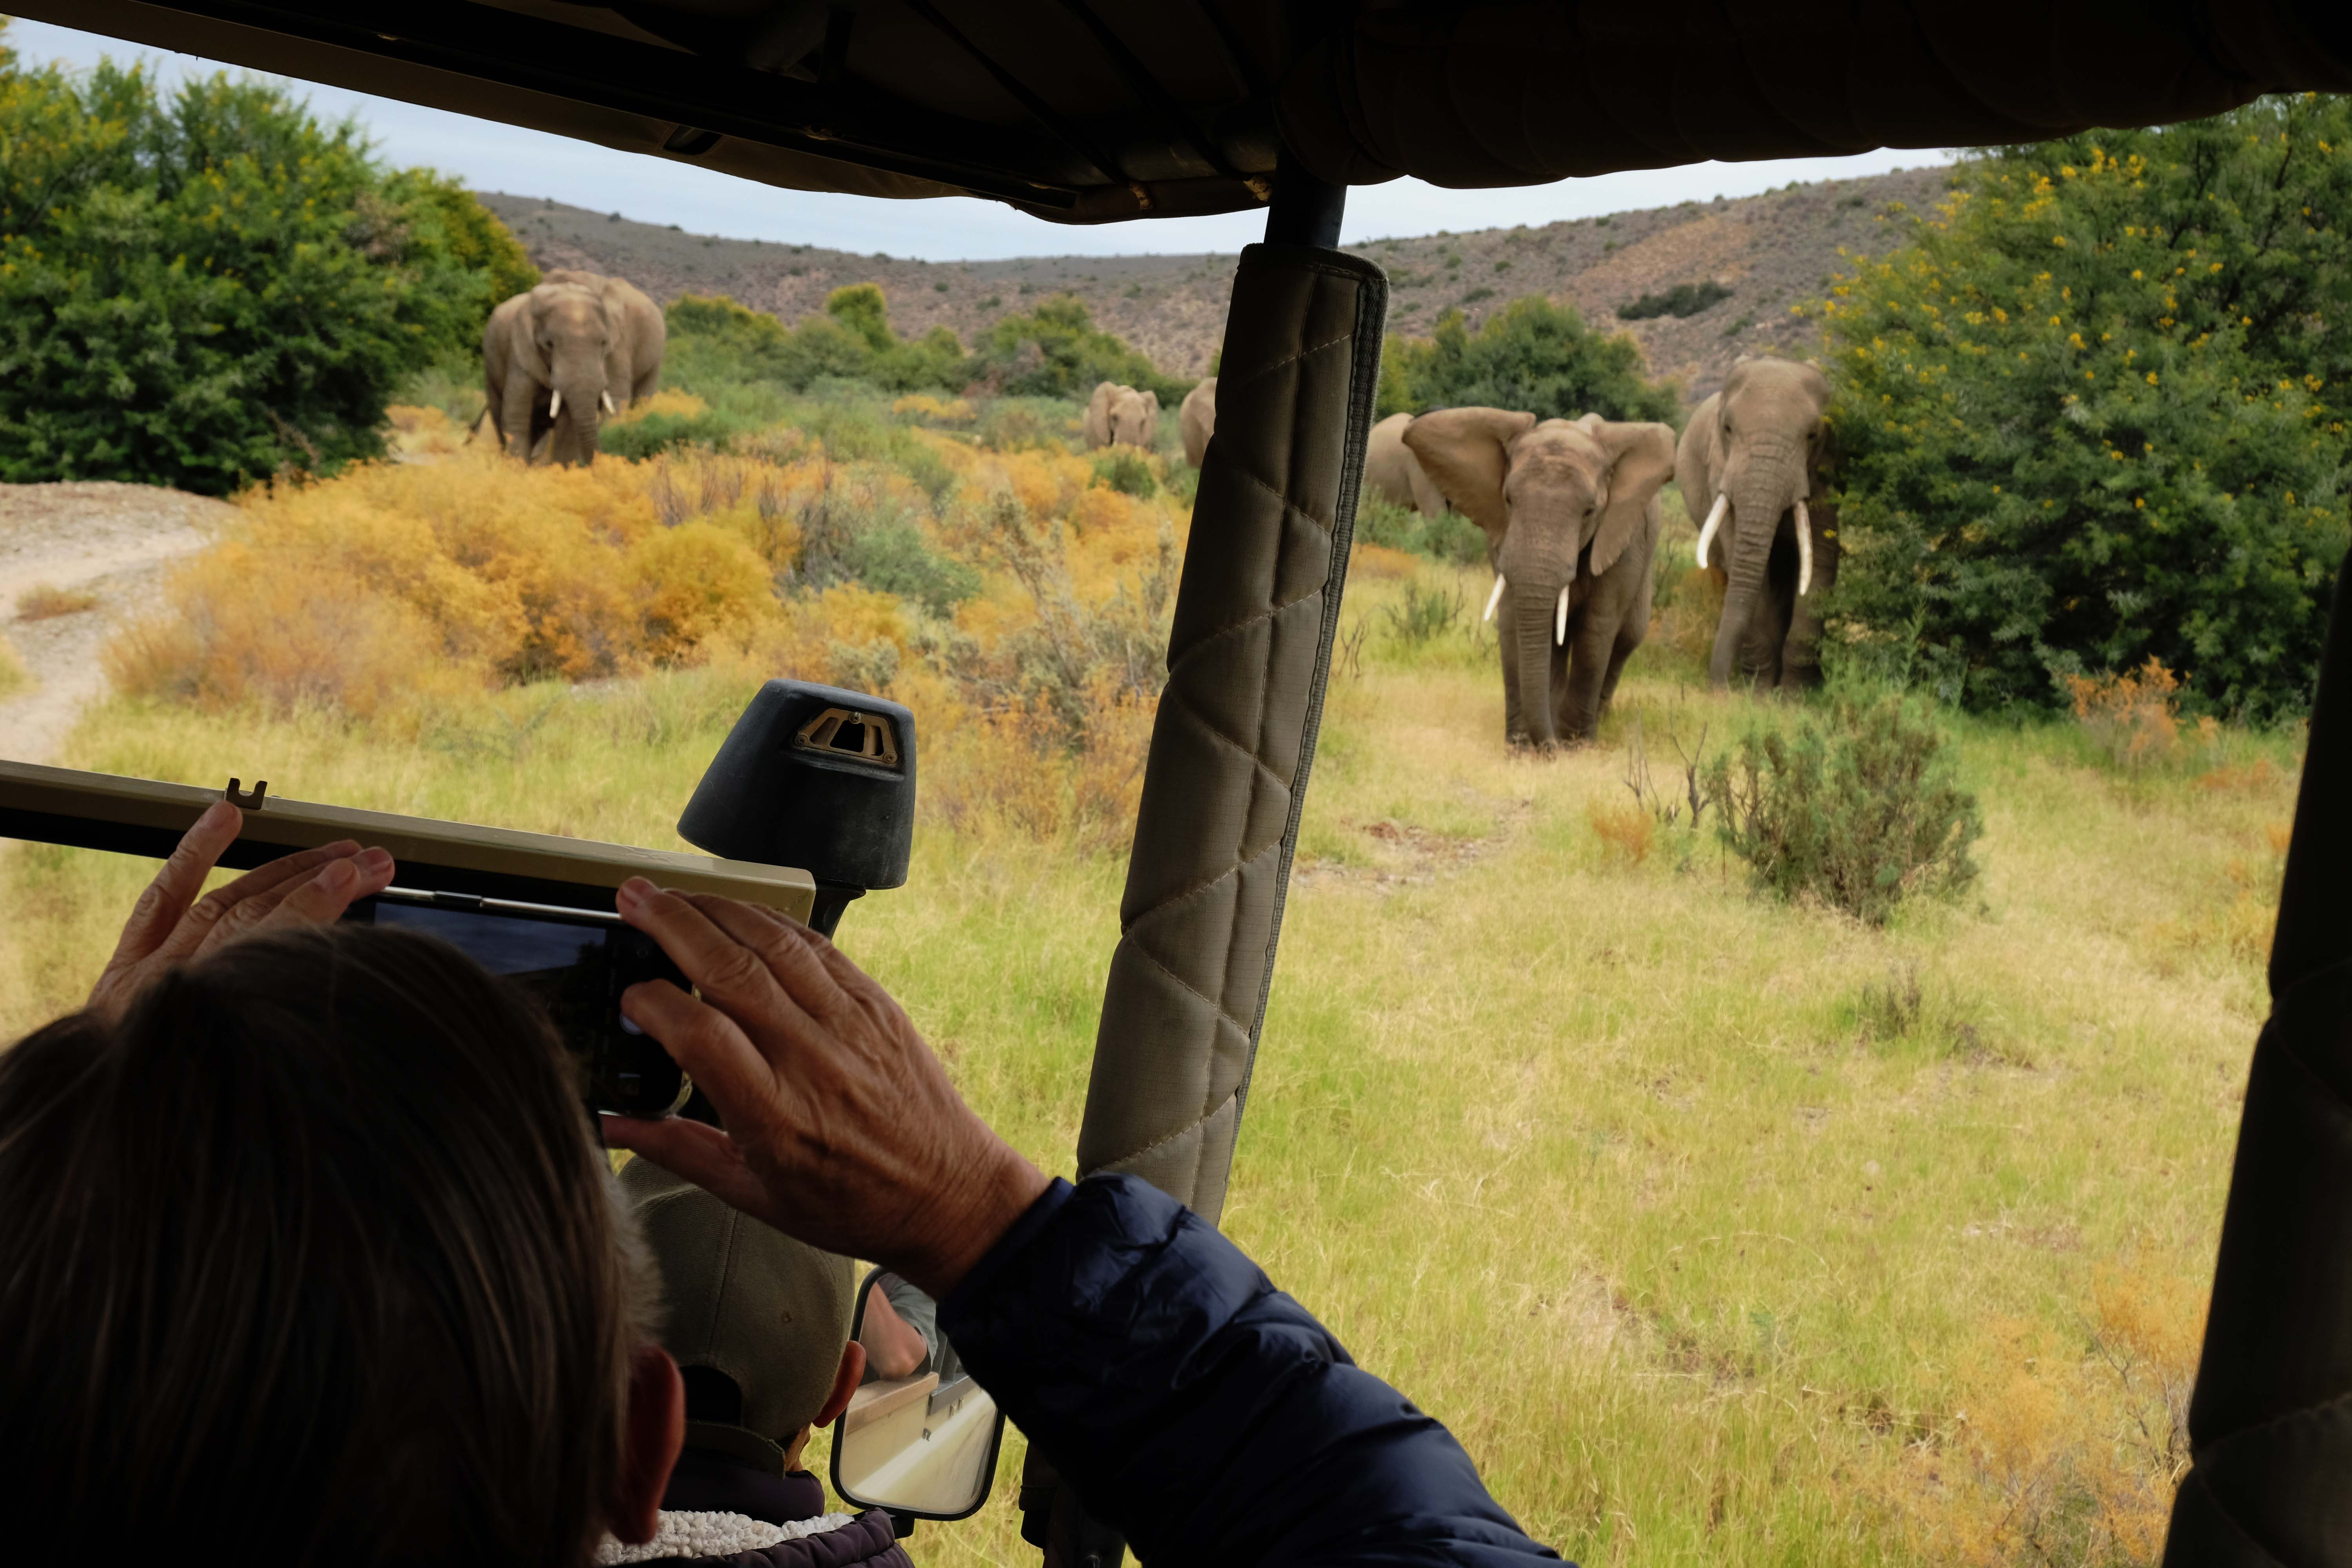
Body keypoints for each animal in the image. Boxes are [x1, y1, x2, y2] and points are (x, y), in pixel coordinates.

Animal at [482, 270, 664, 466]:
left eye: (603, 343)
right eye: (549, 345)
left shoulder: (620, 344)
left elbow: (611, 403)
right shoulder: (521, 355)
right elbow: (516, 418)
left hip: (655, 360)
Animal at [1405, 408, 1678, 749]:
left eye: (1590, 511)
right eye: (1508, 500)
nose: (1549, 749)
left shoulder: (1623, 543)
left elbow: (1596, 629)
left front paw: (1574, 748)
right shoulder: (1501, 536)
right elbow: (1513, 622)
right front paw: (1522, 749)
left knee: (1628, 636)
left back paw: (1595, 722)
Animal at [1675, 355, 1839, 690]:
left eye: (1812, 436)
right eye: (1727, 429)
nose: (1719, 688)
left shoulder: (1826, 471)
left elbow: (1820, 562)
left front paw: (1794, 695)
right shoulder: (1721, 470)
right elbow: (1746, 562)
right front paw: (1759, 693)